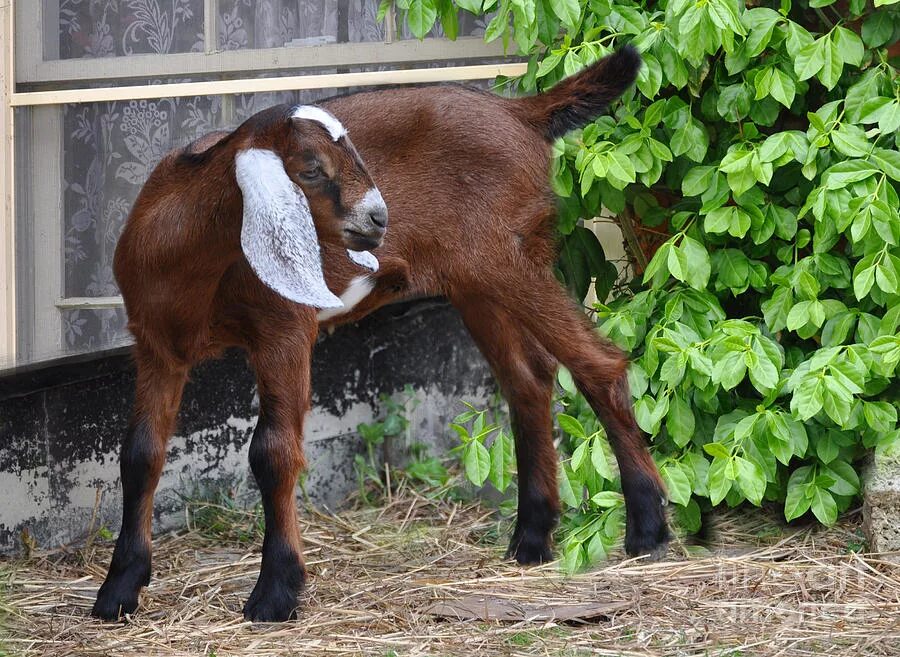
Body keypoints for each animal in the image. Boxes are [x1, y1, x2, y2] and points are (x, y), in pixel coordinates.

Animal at [93, 47, 668, 624]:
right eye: (310, 167)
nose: (378, 218)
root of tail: (520, 113)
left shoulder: (283, 329)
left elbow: (273, 453)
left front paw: (276, 591)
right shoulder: (155, 345)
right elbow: (140, 454)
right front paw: (119, 589)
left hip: (504, 255)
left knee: (599, 364)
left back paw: (648, 531)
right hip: (474, 279)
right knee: (528, 379)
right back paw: (531, 538)